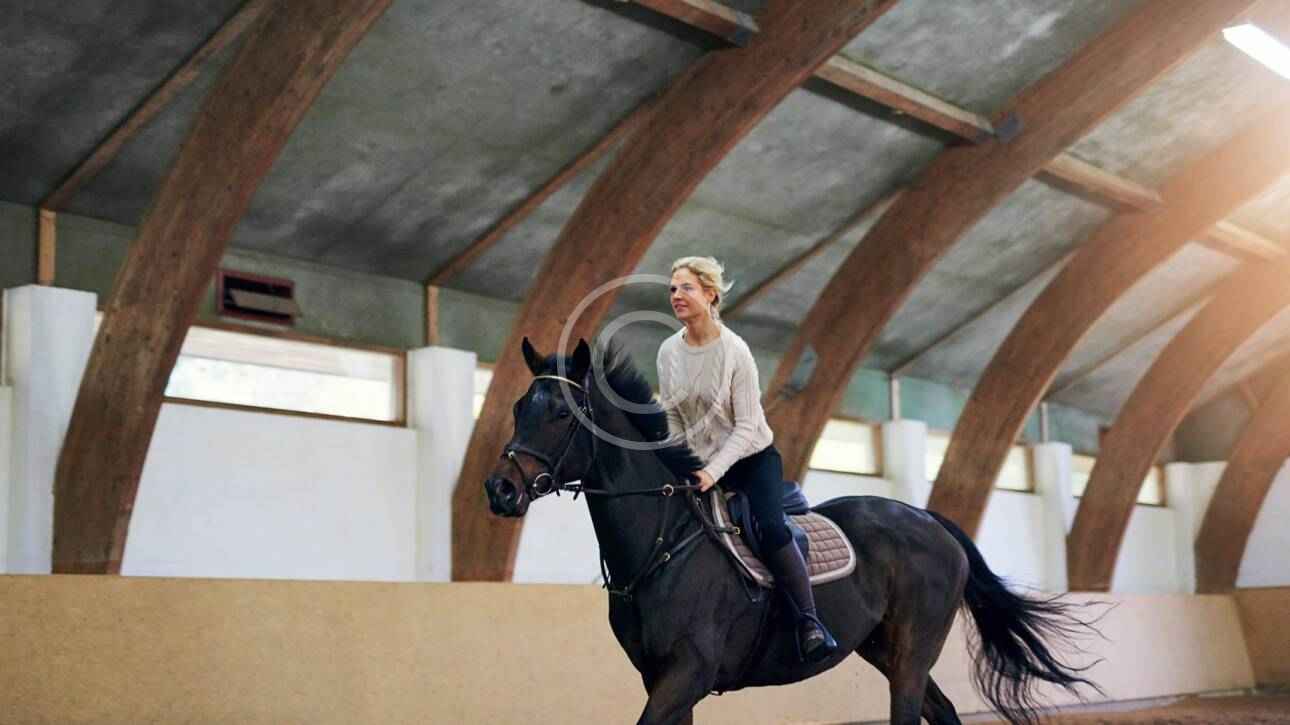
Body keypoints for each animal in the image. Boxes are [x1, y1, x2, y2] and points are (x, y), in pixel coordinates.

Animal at [484, 337, 1101, 725]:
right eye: (518, 407)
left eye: (562, 414)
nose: (500, 489)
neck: (664, 545)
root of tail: (928, 520)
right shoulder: (660, 679)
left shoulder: (687, 673)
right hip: (884, 649)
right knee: (943, 712)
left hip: (912, 652)